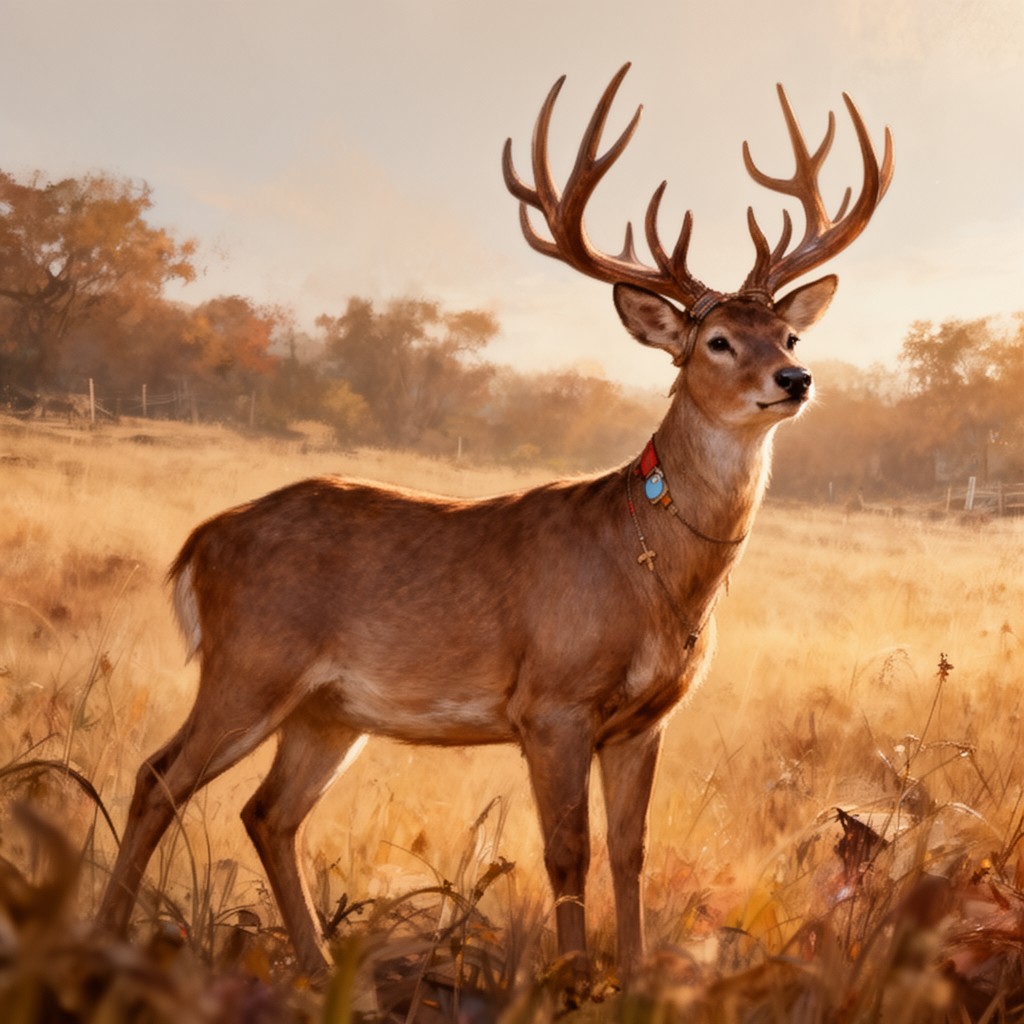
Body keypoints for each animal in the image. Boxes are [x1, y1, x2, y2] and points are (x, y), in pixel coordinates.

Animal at [98, 64, 892, 992]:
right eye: (719, 341)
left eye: (790, 332)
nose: (795, 379)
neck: (648, 571)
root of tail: (200, 544)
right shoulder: (551, 701)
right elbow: (567, 851)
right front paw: (574, 982)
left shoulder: (646, 719)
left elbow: (630, 851)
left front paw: (633, 980)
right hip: (250, 662)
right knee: (158, 777)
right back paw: (108, 938)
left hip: (329, 709)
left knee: (268, 812)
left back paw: (323, 967)